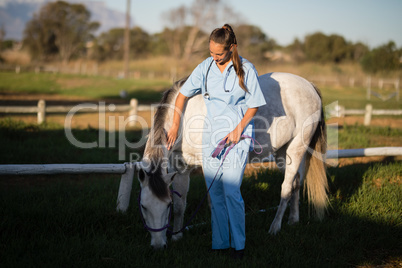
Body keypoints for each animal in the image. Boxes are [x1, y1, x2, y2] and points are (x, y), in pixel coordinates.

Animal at [133, 72, 328, 250]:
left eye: (167, 206)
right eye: (143, 206)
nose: (159, 246)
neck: (184, 119)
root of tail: (310, 86)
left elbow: (213, 202)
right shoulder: (180, 168)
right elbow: (181, 204)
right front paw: (177, 237)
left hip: (296, 148)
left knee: (286, 187)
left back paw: (274, 228)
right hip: (283, 154)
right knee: (296, 182)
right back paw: (293, 220)